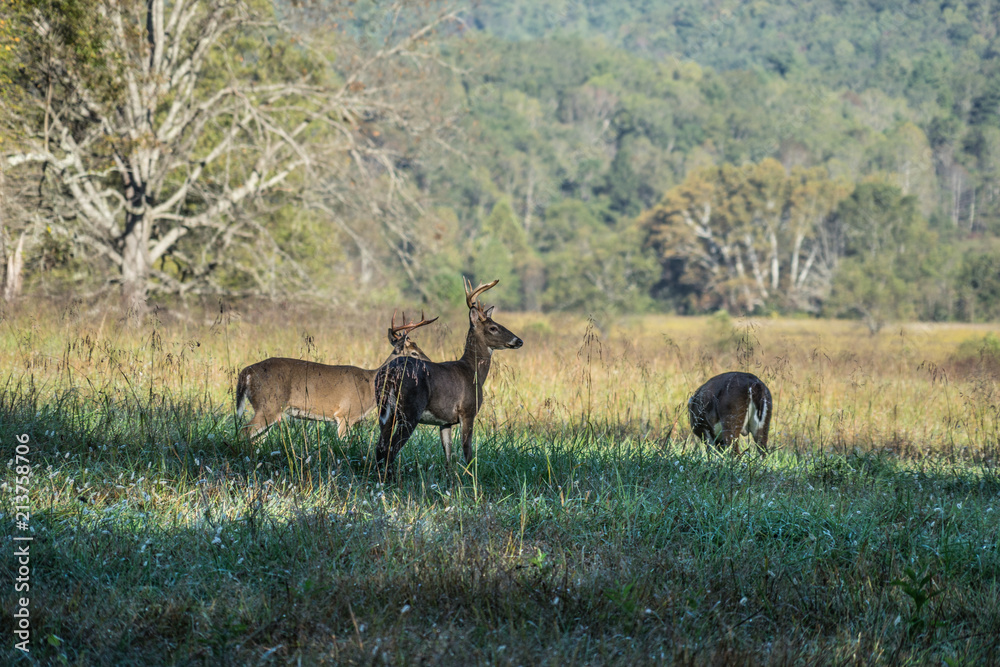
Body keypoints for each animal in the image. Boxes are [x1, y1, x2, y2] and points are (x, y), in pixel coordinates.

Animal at [235, 313, 438, 441]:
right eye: (414, 353)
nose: (432, 364)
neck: (370, 384)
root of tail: (246, 372)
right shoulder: (345, 415)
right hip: (268, 404)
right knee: (244, 432)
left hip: (270, 410)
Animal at [373, 278, 523, 477]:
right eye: (493, 327)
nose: (519, 341)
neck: (472, 372)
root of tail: (389, 373)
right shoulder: (467, 411)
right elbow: (467, 451)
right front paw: (470, 477)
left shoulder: (445, 421)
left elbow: (448, 453)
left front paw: (450, 478)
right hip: (410, 410)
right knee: (391, 448)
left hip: (385, 411)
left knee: (380, 447)